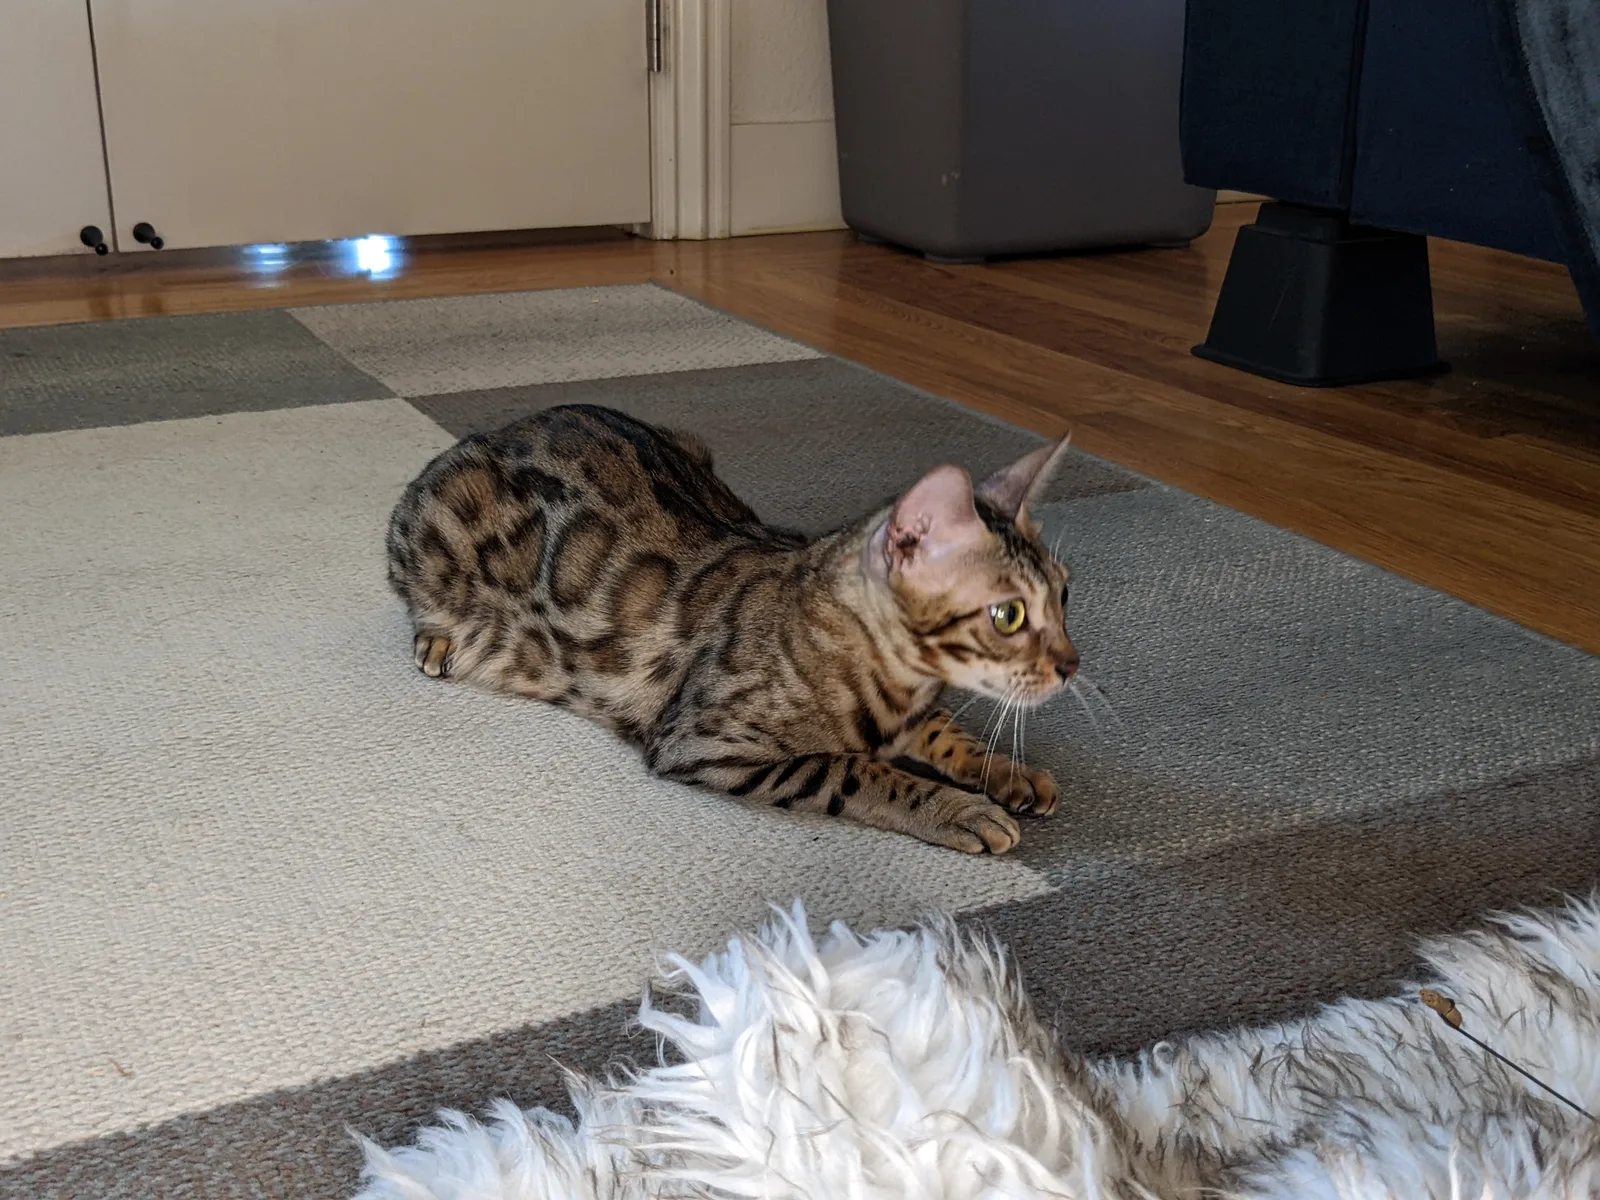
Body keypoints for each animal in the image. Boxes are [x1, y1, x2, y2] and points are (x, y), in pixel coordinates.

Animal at [386, 404, 1080, 854]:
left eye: (1066, 594)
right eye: (1010, 614)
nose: (1073, 666)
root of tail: (498, 429)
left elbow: (944, 731)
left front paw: (1007, 771)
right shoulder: (705, 742)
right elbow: (855, 769)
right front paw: (956, 807)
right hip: (431, 521)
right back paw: (438, 638)